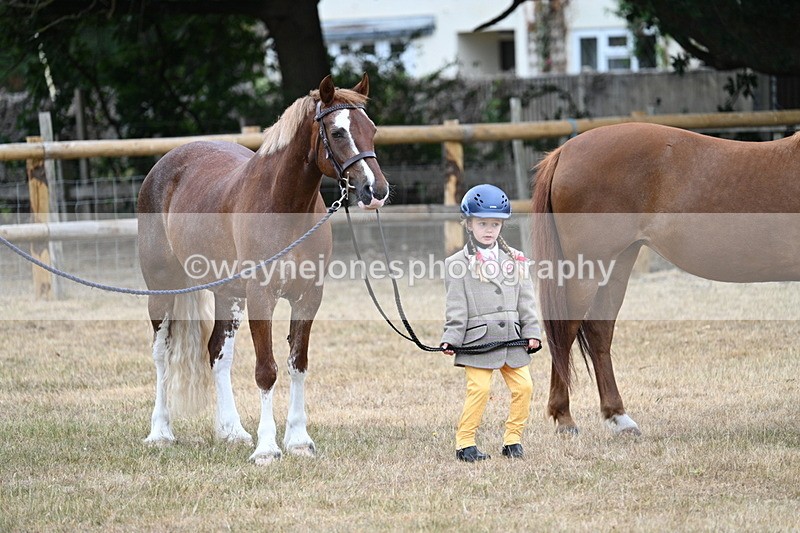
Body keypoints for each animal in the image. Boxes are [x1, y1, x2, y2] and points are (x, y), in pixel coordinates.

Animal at [137, 74, 389, 464]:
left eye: (372, 129)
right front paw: (267, 448)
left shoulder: (308, 298)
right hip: (162, 289)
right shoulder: (261, 297)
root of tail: (165, 165)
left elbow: (298, 363)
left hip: (227, 294)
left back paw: (232, 431)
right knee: (162, 353)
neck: (283, 207)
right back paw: (160, 432)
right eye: (337, 132)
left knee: (217, 354)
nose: (375, 190)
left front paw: (298, 440)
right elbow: (266, 371)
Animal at [532, 122, 800, 436]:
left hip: (617, 264)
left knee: (599, 330)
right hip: (587, 269)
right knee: (565, 331)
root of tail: (564, 151)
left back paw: (619, 418)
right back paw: (565, 419)